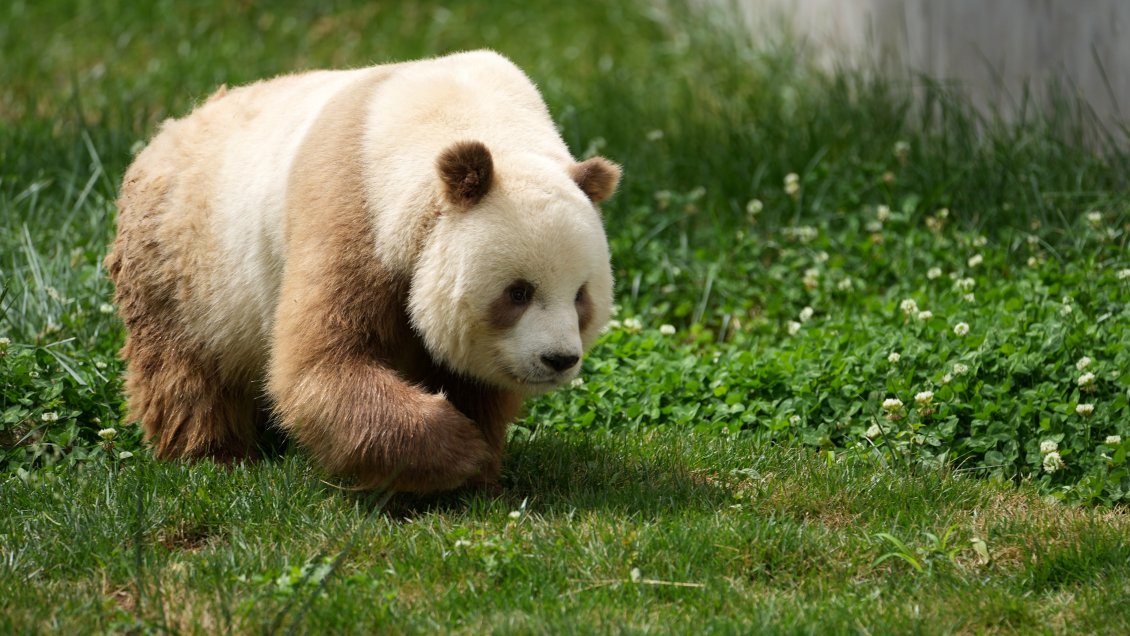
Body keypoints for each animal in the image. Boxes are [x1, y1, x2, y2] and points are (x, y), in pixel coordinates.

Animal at [105, 50, 620, 492]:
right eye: (518, 292)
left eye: (580, 295)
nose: (559, 359)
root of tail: (166, 132)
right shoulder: (353, 204)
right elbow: (321, 363)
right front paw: (457, 452)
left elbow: (473, 381)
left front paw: (479, 467)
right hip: (182, 264)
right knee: (185, 373)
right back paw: (213, 455)